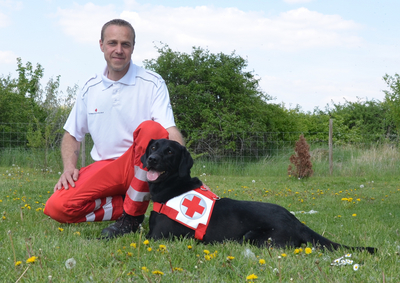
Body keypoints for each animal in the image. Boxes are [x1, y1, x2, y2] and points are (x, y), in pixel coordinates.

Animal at [142, 139, 376, 254]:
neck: (174, 186)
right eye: (153, 147)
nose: (152, 159)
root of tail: (296, 221)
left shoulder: (158, 237)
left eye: (170, 152)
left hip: (252, 236)